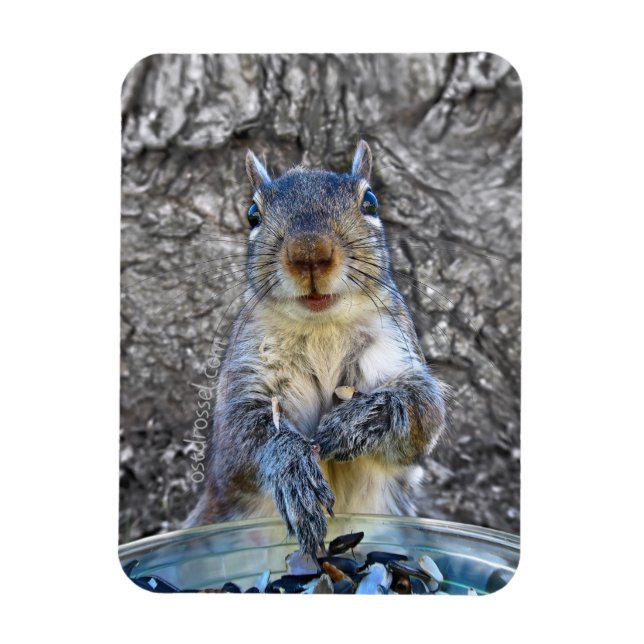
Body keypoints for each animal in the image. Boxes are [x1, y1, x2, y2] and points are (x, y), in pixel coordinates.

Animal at [184, 141, 446, 556]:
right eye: (253, 214)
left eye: (370, 202)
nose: (309, 252)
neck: (323, 327)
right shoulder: (243, 378)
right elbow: (244, 439)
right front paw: (293, 471)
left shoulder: (398, 349)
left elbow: (422, 412)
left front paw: (353, 423)